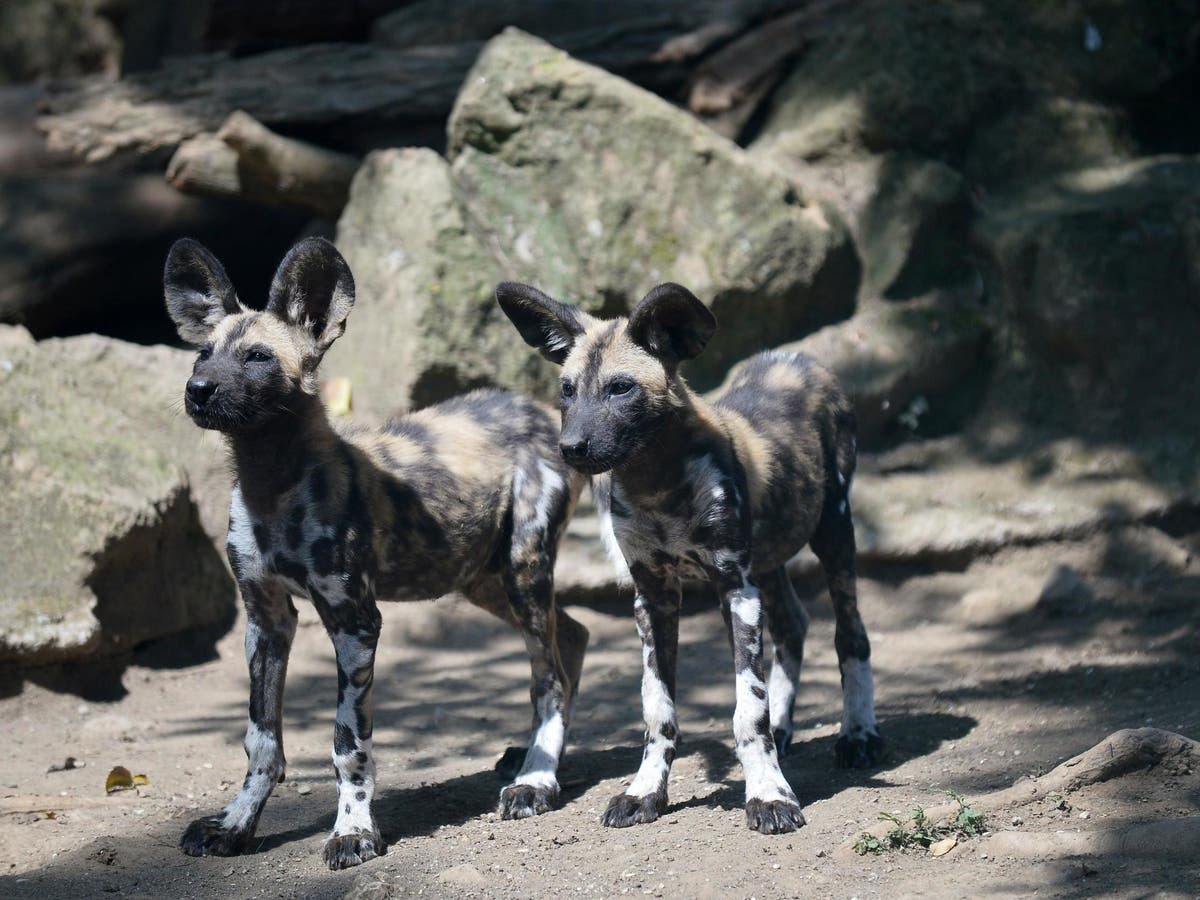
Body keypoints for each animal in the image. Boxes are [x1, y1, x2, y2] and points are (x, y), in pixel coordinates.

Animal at [163, 236, 585, 868]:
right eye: (202, 355)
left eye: (257, 357)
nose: (199, 390)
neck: (272, 485)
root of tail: (538, 409)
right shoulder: (266, 620)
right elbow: (260, 740)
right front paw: (235, 825)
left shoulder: (355, 621)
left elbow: (348, 744)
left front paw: (354, 831)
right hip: (480, 580)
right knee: (573, 638)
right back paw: (539, 758)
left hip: (523, 574)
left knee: (549, 676)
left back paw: (536, 781)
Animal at [496, 283, 883, 840]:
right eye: (568, 390)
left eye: (620, 389)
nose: (570, 448)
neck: (656, 483)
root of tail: (796, 357)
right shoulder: (654, 600)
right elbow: (658, 711)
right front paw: (644, 793)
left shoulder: (734, 589)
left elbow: (748, 710)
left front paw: (769, 795)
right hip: (768, 560)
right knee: (794, 624)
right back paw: (787, 728)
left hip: (834, 534)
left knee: (850, 633)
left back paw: (859, 734)